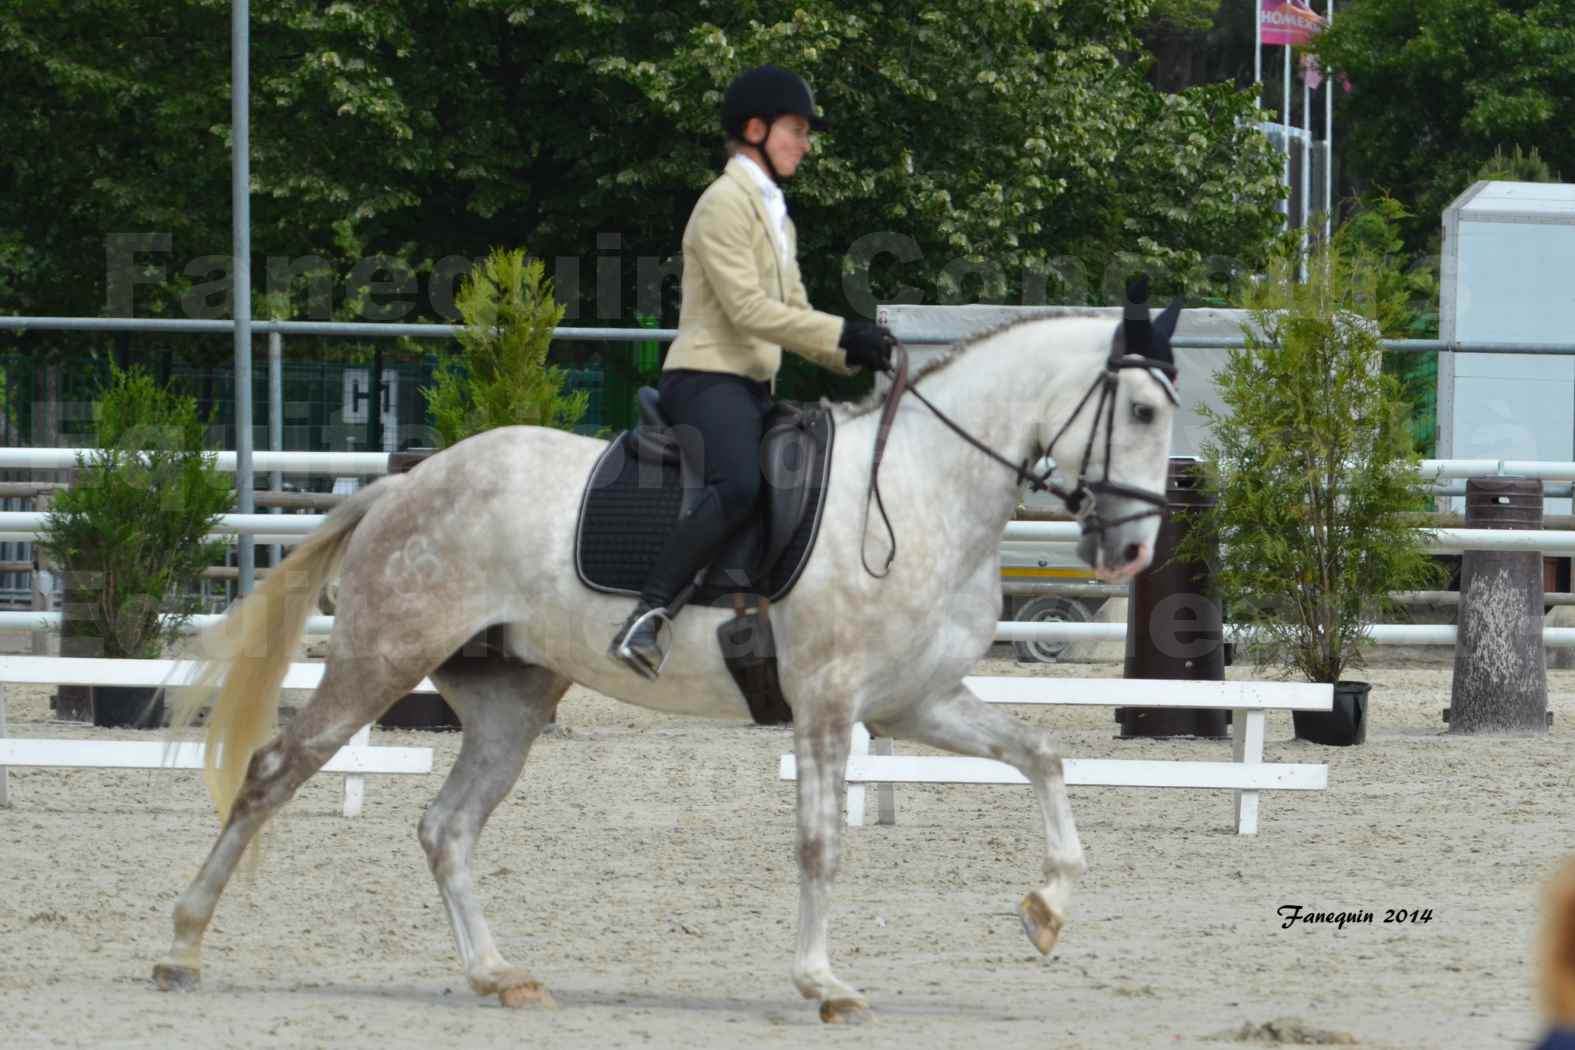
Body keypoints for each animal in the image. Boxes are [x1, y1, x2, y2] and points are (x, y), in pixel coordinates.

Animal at [156, 302, 1184, 1020]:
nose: (1132, 551)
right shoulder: (829, 704)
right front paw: (823, 983)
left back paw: (497, 975)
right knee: (272, 774)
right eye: (1138, 408)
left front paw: (1046, 910)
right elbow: (821, 844)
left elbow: (1042, 756)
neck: (920, 489)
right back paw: (182, 946)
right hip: (380, 658)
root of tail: (410, 482)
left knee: (446, 828)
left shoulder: (914, 702)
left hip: (509, 704)